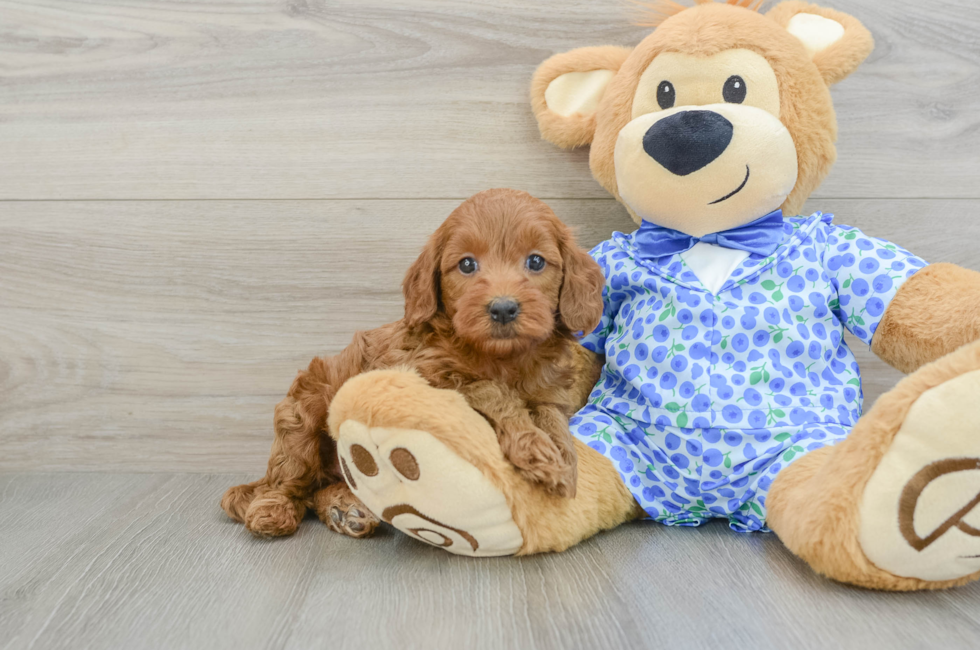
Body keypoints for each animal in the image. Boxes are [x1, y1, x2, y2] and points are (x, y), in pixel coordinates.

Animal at [222, 187, 604, 536]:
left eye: (536, 261)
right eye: (467, 264)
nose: (503, 308)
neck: (502, 356)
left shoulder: (549, 392)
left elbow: (552, 418)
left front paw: (564, 463)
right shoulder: (427, 374)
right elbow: (493, 390)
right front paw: (535, 450)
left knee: (320, 486)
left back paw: (344, 507)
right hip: (304, 410)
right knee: (287, 480)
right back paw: (273, 510)